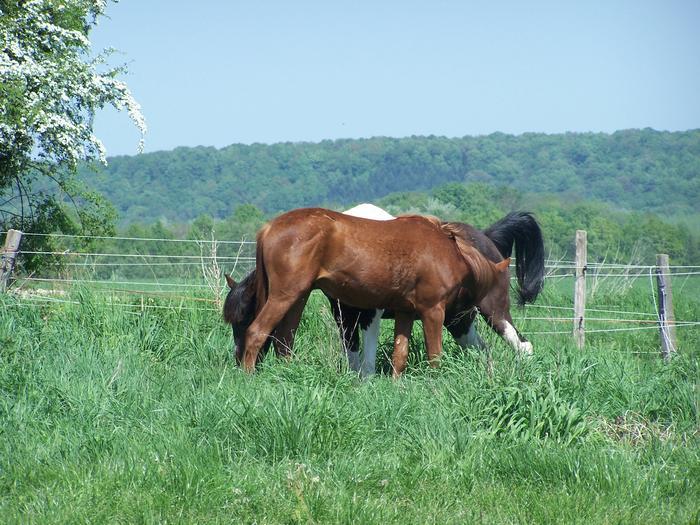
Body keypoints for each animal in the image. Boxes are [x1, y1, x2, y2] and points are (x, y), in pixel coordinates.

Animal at [232, 207, 512, 374]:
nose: (468, 314)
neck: (449, 250)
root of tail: (270, 227)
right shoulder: (432, 311)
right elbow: (434, 355)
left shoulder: (405, 312)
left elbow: (399, 354)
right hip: (285, 296)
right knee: (258, 333)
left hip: (297, 298)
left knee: (284, 340)